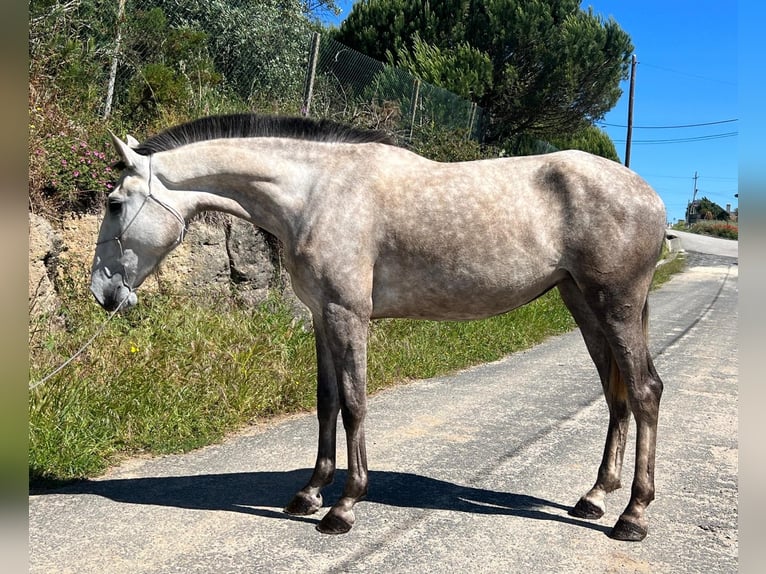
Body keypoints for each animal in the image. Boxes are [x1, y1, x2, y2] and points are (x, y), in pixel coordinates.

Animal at [88, 113, 664, 544]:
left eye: (114, 203)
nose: (103, 293)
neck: (315, 191)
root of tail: (650, 196)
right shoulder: (322, 316)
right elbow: (326, 402)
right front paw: (309, 493)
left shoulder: (348, 315)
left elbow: (355, 404)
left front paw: (343, 506)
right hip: (584, 306)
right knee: (615, 394)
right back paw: (595, 497)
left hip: (614, 306)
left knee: (644, 392)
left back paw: (633, 515)